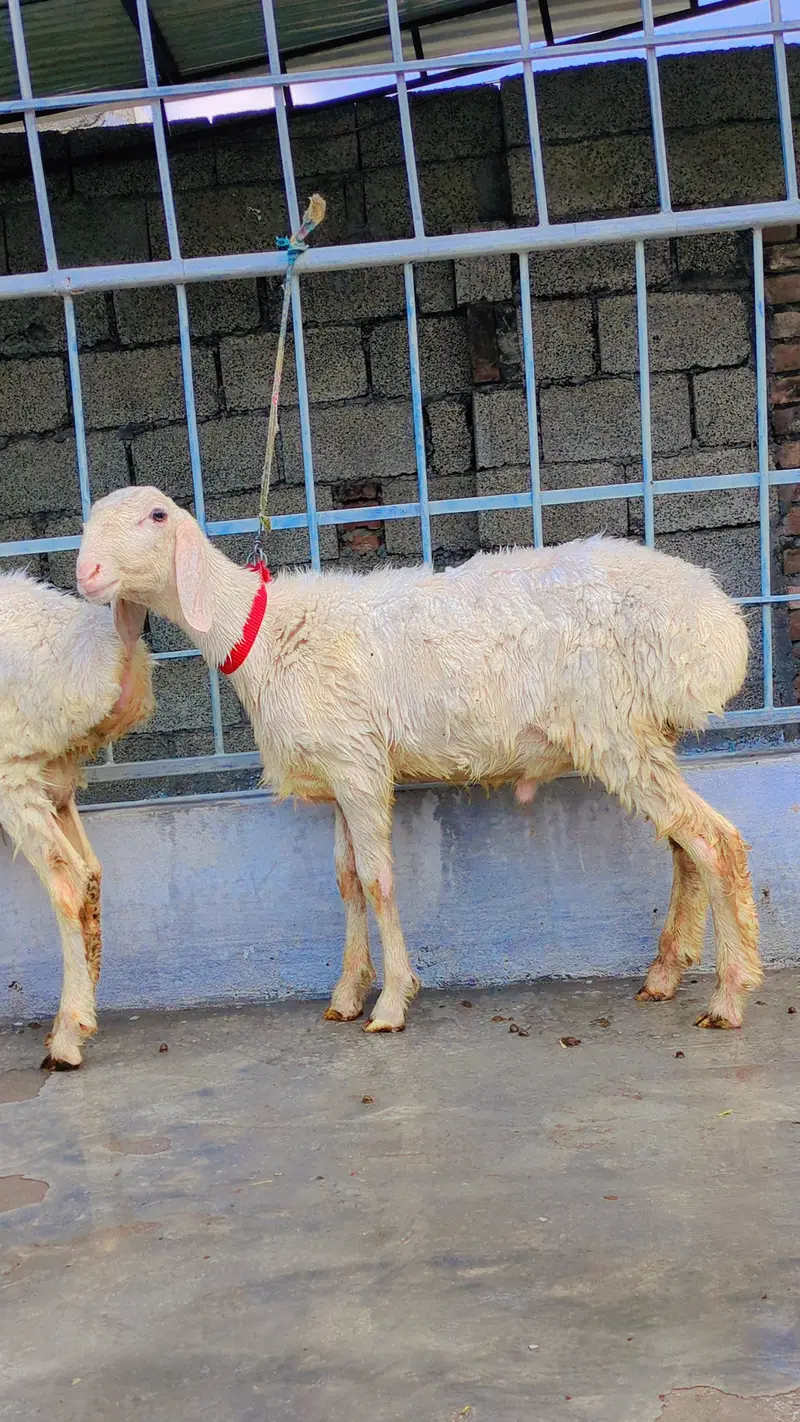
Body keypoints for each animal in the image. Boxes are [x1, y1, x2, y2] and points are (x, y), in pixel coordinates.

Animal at [76, 486, 761, 1034]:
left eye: (157, 515)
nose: (86, 571)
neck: (261, 629)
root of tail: (717, 624)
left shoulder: (358, 765)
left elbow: (379, 881)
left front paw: (390, 1004)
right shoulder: (338, 767)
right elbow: (347, 880)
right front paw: (347, 994)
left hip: (615, 727)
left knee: (713, 842)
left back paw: (729, 997)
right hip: (642, 734)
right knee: (684, 842)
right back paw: (665, 973)